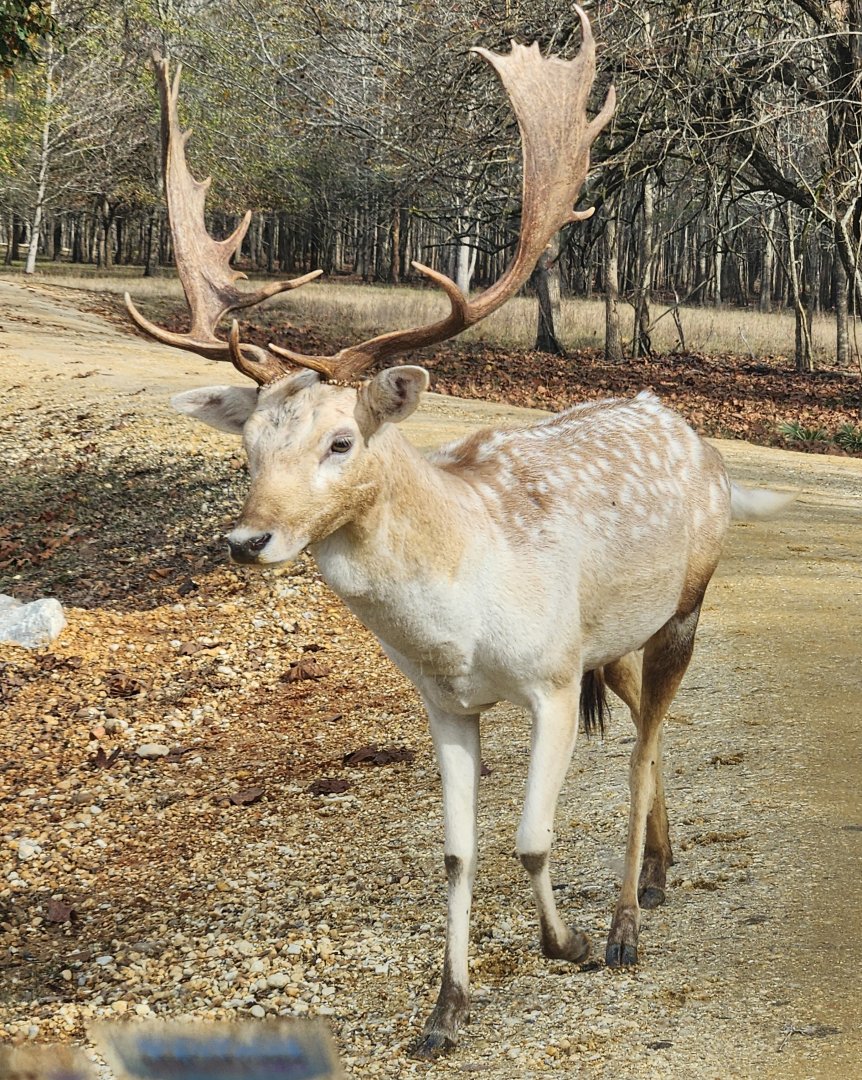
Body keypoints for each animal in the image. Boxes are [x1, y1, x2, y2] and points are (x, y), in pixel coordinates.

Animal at [126, 10, 795, 1058]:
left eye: (341, 439)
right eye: (247, 447)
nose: (247, 541)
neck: (461, 620)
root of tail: (697, 436)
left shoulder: (553, 674)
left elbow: (529, 836)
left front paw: (566, 943)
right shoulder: (446, 703)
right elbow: (455, 852)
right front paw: (444, 1010)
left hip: (689, 600)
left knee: (643, 745)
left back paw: (625, 924)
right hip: (622, 634)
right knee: (644, 728)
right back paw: (656, 871)